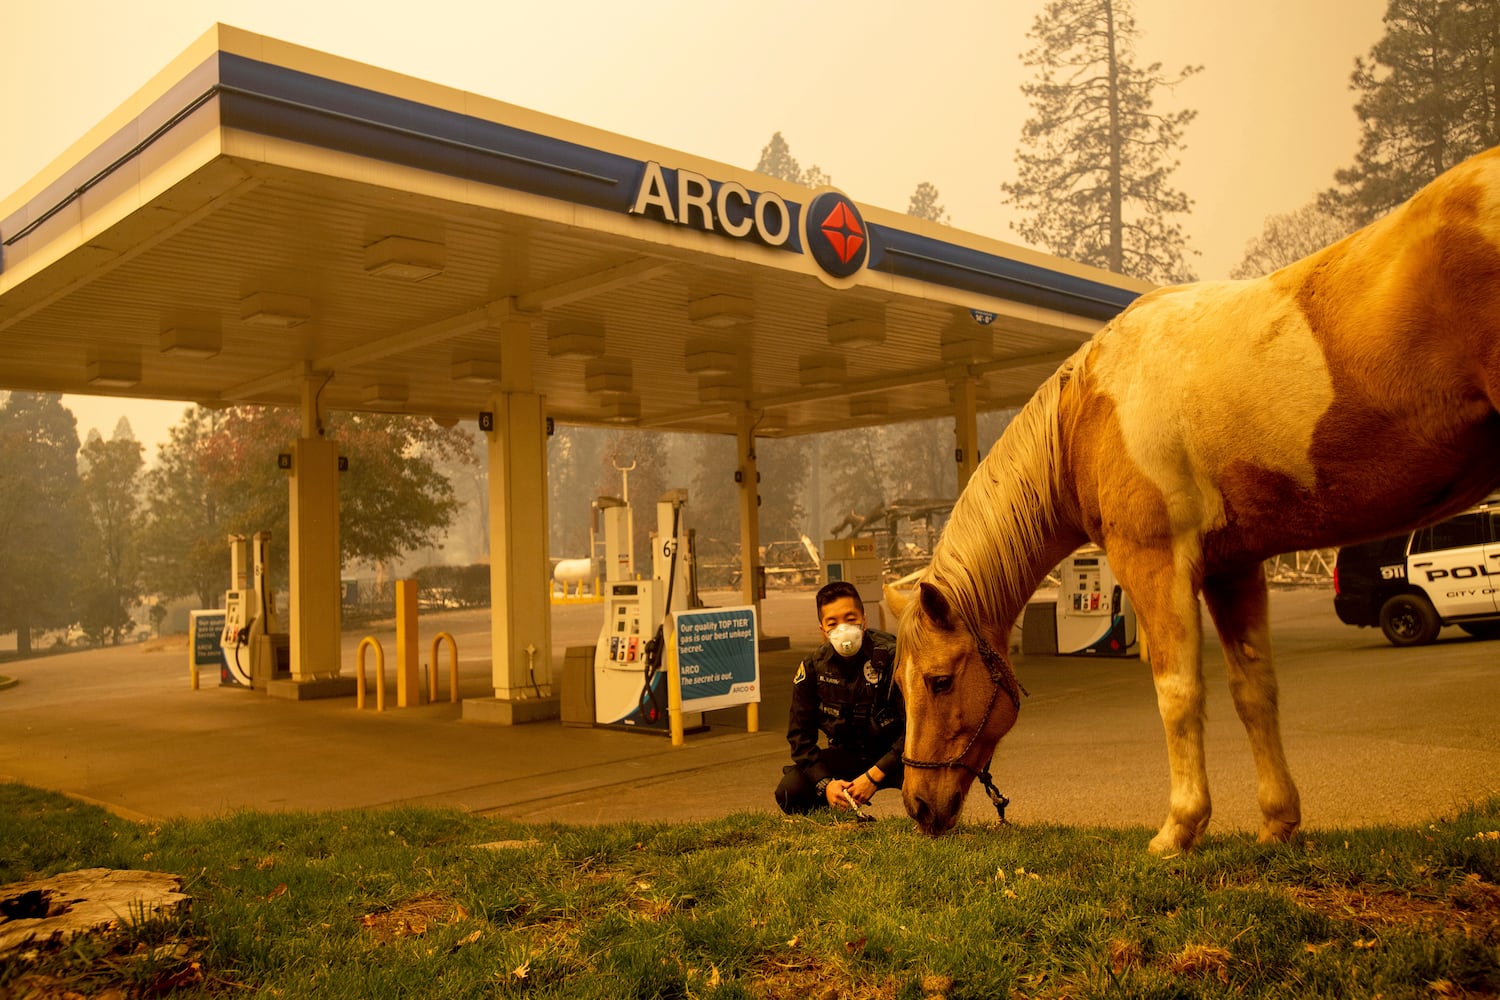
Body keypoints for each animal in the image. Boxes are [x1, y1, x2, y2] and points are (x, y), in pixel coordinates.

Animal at [888, 148, 1500, 851]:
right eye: (897, 685)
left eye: (938, 681)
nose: (918, 805)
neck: (1088, 411)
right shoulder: (1234, 568)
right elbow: (1254, 688)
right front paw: (1277, 823)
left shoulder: (1154, 561)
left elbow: (1177, 692)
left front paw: (1179, 829)